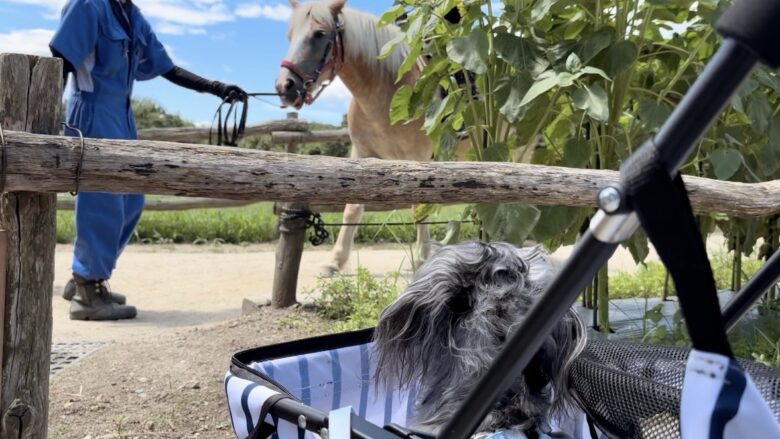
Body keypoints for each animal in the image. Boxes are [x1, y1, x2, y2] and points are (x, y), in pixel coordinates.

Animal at [278, 0, 438, 276]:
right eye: (289, 35)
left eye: (319, 34)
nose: (284, 86)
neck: (387, 88)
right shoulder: (362, 154)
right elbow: (353, 207)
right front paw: (334, 261)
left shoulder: (419, 158)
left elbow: (419, 207)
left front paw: (422, 258)